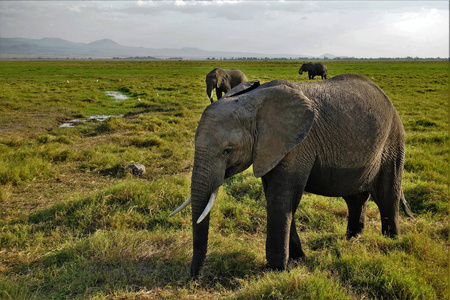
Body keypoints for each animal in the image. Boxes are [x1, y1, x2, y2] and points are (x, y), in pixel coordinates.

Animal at [171, 74, 414, 278]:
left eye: (227, 150)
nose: (195, 277)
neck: (255, 100)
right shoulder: (270, 149)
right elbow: (276, 196)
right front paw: (298, 260)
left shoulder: (298, 145)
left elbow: (281, 199)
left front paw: (275, 270)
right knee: (355, 197)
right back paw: (352, 239)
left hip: (393, 140)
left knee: (387, 193)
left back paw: (392, 242)